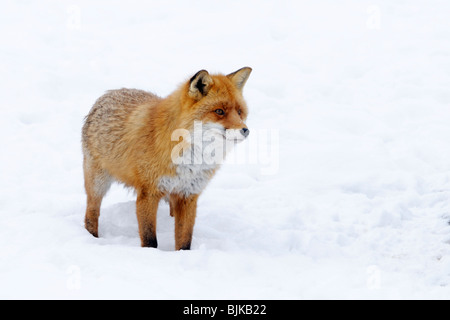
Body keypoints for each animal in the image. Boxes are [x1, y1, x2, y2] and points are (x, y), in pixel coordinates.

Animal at [82, 67, 251, 250]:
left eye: (240, 112)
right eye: (219, 111)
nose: (245, 130)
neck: (191, 158)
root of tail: (108, 94)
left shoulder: (188, 194)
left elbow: (184, 239)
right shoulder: (148, 193)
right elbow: (150, 239)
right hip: (98, 184)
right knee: (91, 214)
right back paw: (92, 238)